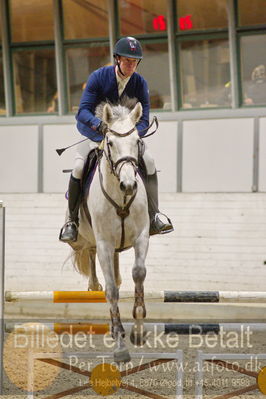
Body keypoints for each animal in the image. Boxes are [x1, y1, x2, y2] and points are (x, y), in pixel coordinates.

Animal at [69, 98, 150, 364]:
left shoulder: (142, 236)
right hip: (91, 240)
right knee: (96, 265)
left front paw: (138, 331)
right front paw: (120, 347)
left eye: (137, 141)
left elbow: (138, 274)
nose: (129, 185)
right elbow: (112, 291)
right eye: (111, 143)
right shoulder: (104, 243)